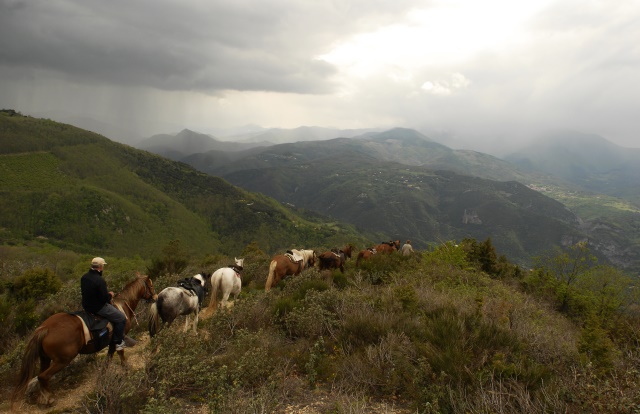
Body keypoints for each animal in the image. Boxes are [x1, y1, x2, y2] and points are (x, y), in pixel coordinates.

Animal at [11, 274, 157, 406]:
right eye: (150, 285)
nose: (155, 297)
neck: (122, 306)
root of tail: (45, 328)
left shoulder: (111, 342)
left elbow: (108, 359)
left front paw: (103, 375)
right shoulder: (118, 338)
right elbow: (119, 353)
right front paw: (126, 369)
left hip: (45, 358)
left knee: (41, 376)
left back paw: (42, 398)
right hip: (63, 360)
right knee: (43, 376)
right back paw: (49, 399)